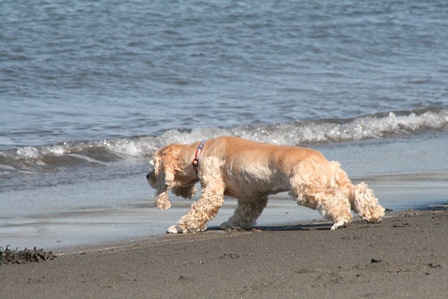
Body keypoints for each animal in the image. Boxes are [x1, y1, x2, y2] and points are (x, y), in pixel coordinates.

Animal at [147, 137, 384, 234]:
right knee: (357, 191)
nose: (147, 176)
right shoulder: (252, 197)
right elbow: (243, 213)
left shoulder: (213, 191)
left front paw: (179, 227)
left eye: (153, 166)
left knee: (334, 200)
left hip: (304, 189)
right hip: (335, 180)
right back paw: (374, 213)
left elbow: (198, 211)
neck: (199, 152)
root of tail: (324, 161)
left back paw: (341, 220)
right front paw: (232, 224)